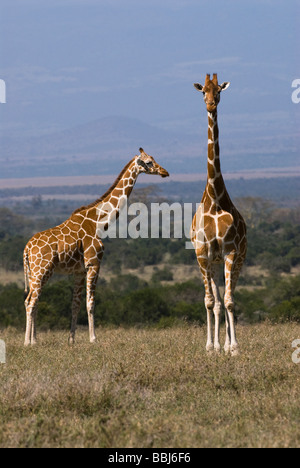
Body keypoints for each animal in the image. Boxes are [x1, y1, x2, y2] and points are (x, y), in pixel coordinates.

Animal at [23, 148, 169, 346]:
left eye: (153, 159)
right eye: (148, 162)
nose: (164, 172)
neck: (98, 221)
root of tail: (26, 249)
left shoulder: (78, 271)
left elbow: (75, 304)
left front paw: (71, 340)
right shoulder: (94, 264)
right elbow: (90, 302)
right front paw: (93, 338)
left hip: (36, 272)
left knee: (31, 301)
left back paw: (35, 339)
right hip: (41, 270)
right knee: (31, 302)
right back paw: (28, 342)